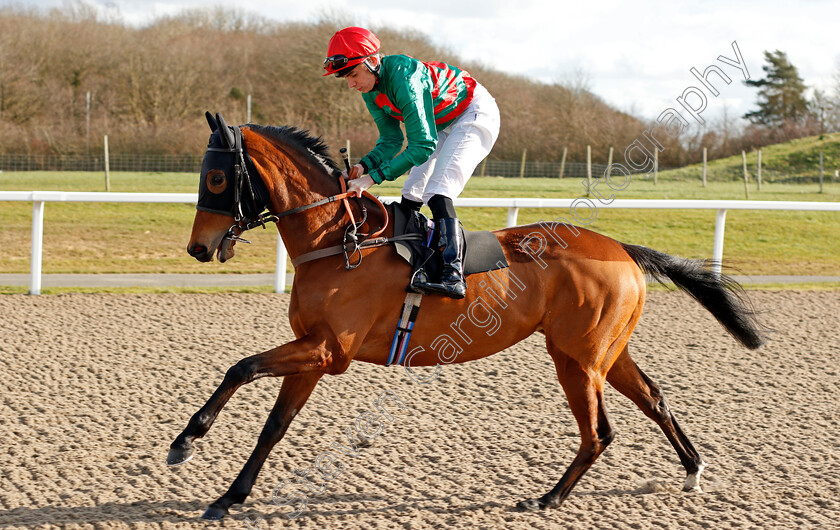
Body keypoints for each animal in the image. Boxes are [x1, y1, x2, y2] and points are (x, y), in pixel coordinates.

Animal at [171, 112, 768, 520]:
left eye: (218, 179)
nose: (198, 248)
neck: (338, 240)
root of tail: (620, 248)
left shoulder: (328, 350)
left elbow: (241, 367)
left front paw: (187, 441)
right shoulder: (314, 354)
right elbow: (274, 425)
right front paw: (228, 496)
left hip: (576, 359)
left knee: (600, 430)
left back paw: (549, 497)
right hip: (601, 351)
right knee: (653, 398)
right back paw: (691, 471)